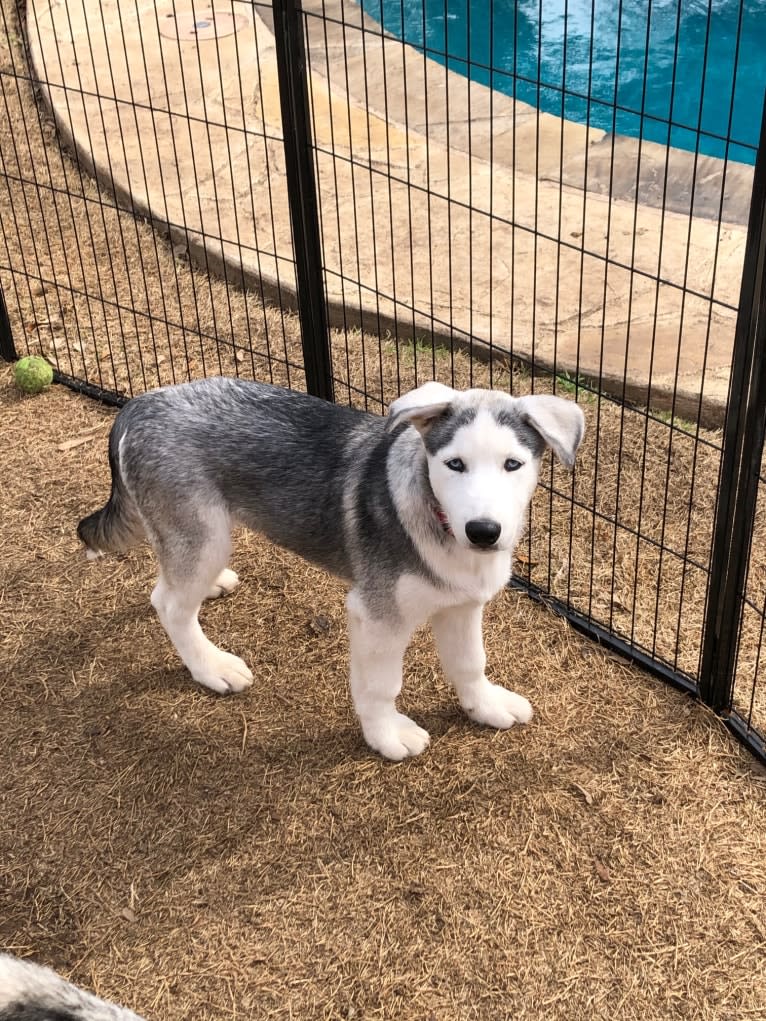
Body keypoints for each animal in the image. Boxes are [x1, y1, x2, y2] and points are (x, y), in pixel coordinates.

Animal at [78, 377, 584, 759]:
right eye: (454, 464)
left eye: (512, 464)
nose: (483, 531)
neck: (437, 519)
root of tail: (141, 403)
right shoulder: (376, 615)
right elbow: (381, 685)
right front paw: (386, 735)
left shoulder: (461, 605)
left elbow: (470, 662)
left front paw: (485, 706)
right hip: (203, 533)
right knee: (167, 603)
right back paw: (211, 666)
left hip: (200, 535)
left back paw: (212, 587)